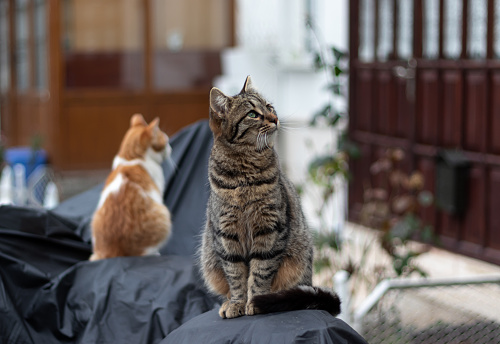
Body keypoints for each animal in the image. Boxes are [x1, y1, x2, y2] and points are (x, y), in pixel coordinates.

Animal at [199, 76, 340, 318]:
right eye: (252, 114)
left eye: (269, 107)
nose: (275, 118)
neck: (244, 174)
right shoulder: (226, 235)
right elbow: (236, 277)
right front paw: (237, 303)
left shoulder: (270, 228)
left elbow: (259, 273)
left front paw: (256, 302)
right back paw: (227, 303)